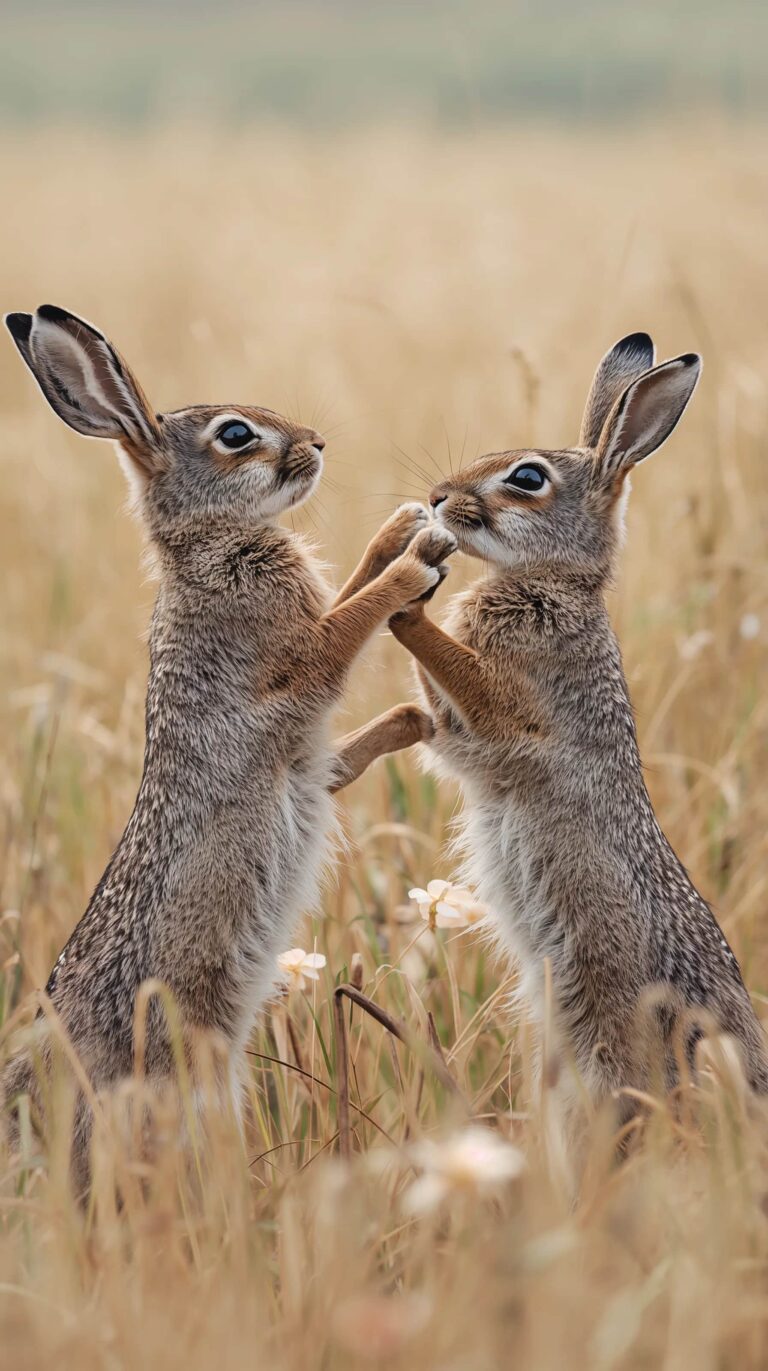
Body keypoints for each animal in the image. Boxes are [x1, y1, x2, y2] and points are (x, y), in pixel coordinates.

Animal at [2, 304, 456, 1184]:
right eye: (236, 435)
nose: (316, 442)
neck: (207, 546)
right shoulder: (298, 666)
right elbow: (352, 619)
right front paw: (415, 562)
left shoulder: (311, 759)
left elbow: (351, 605)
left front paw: (400, 535)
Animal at [390, 333, 768, 1111]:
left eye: (527, 478)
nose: (439, 497)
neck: (556, 582)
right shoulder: (460, 735)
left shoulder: (510, 707)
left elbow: (451, 662)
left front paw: (408, 599)